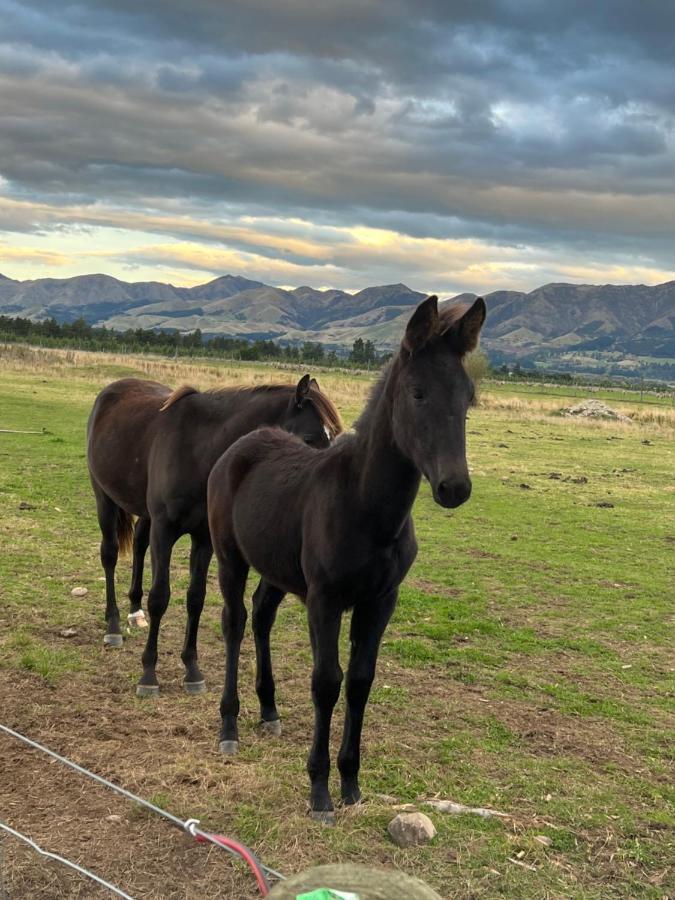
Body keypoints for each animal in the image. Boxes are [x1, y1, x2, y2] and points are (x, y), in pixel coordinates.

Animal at [87, 372, 344, 696]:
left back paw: (135, 610)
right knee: (109, 555)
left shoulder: (203, 539)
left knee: (139, 544)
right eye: (310, 438)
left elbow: (196, 598)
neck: (198, 449)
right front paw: (149, 674)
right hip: (104, 498)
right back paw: (113, 626)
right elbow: (160, 597)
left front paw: (192, 670)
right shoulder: (165, 531)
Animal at [207, 298, 486, 824]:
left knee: (262, 614)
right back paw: (229, 726)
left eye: (469, 397)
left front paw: (351, 782)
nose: (455, 488)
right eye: (417, 393)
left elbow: (359, 682)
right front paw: (319, 790)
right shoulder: (325, 599)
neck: (366, 507)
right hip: (230, 556)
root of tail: (243, 443)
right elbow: (326, 682)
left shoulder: (380, 602)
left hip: (278, 569)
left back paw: (269, 710)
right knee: (234, 621)